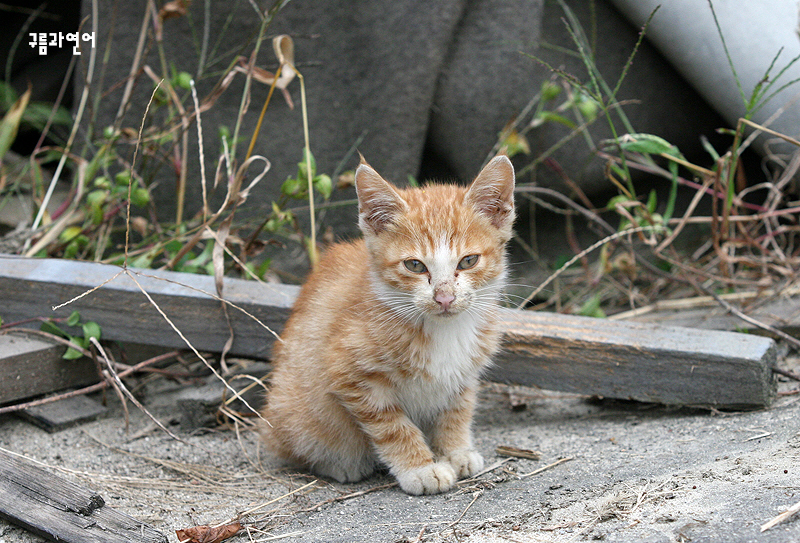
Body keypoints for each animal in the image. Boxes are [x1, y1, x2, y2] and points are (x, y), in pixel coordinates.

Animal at [260, 154, 516, 498]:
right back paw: (340, 465)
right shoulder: (351, 374)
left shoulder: (464, 373)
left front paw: (455, 450)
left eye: (468, 261)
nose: (445, 298)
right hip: (293, 409)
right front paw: (421, 467)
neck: (443, 330)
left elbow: (456, 411)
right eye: (415, 265)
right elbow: (393, 426)